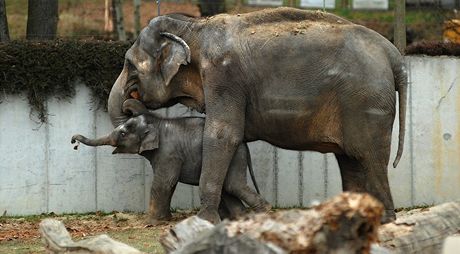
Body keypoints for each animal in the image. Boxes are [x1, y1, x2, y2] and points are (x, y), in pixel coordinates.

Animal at [71, 99, 270, 224]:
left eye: (123, 133)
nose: (73, 142)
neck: (157, 122)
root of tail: (245, 143)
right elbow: (169, 184)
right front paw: (164, 219)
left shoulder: (168, 153)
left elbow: (164, 182)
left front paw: (151, 222)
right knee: (228, 188)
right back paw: (240, 219)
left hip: (235, 157)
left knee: (233, 185)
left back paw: (263, 214)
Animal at [108, 7, 406, 222]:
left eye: (129, 64)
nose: (130, 104)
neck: (194, 27)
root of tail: (394, 54)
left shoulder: (224, 76)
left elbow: (222, 135)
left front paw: (205, 220)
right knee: (350, 160)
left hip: (366, 100)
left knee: (370, 157)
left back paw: (387, 219)